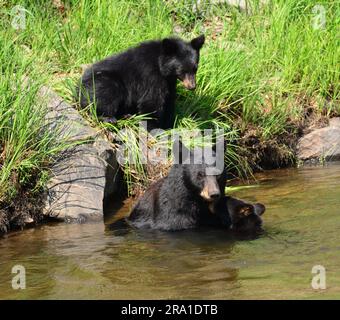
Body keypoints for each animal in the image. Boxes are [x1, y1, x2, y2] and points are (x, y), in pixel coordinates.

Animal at [77, 35, 205, 130]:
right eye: (182, 70)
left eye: (195, 69)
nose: (192, 86)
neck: (161, 66)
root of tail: (77, 88)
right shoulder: (150, 75)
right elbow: (152, 100)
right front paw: (154, 126)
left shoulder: (169, 81)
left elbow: (169, 99)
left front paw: (169, 123)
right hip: (103, 82)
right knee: (105, 96)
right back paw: (109, 118)